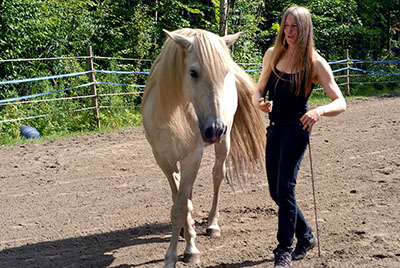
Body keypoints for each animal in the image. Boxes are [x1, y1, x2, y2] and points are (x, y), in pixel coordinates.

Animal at [141, 28, 266, 266]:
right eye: (193, 72)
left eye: (224, 72)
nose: (214, 129)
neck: (173, 115)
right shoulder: (163, 160)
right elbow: (180, 201)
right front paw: (186, 237)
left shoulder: (192, 157)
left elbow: (180, 208)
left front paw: (183, 253)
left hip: (224, 143)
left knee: (218, 175)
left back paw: (212, 225)